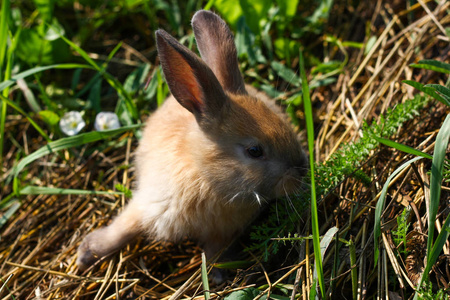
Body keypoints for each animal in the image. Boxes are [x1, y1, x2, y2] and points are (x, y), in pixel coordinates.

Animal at [78, 9, 310, 272]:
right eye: (254, 151)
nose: (302, 169)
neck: (205, 176)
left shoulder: (221, 234)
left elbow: (214, 252)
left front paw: (217, 274)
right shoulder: (148, 205)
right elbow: (123, 229)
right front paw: (87, 254)